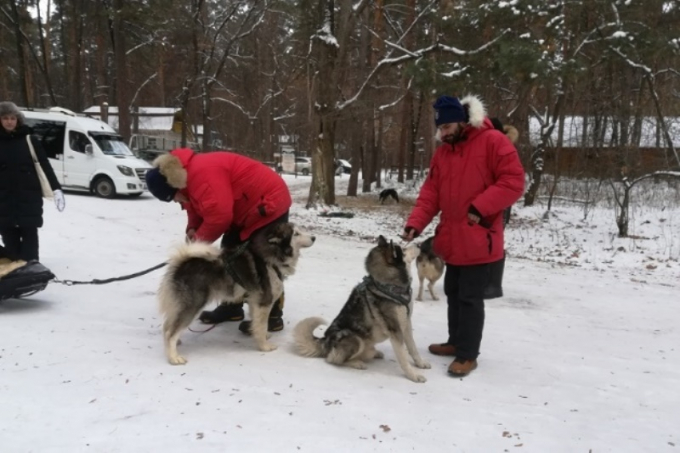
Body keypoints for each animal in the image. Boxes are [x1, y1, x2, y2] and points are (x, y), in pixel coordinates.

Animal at [158, 222, 314, 364]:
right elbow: (262, 325)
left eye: (300, 230)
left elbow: (257, 324)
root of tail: (182, 262)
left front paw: (260, 335)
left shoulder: (254, 300)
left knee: (167, 327)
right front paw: (264, 346)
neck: (270, 258)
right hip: (192, 305)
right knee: (170, 332)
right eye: (296, 234)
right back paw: (174, 357)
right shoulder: (264, 301)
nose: (314, 237)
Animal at [294, 237, 430, 382]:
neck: (388, 286)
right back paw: (356, 363)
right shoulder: (395, 330)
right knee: (332, 359)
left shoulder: (406, 323)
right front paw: (413, 375)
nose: (419, 244)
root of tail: (325, 341)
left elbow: (413, 348)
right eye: (403, 249)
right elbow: (403, 357)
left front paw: (420, 363)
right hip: (354, 338)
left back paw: (375, 354)